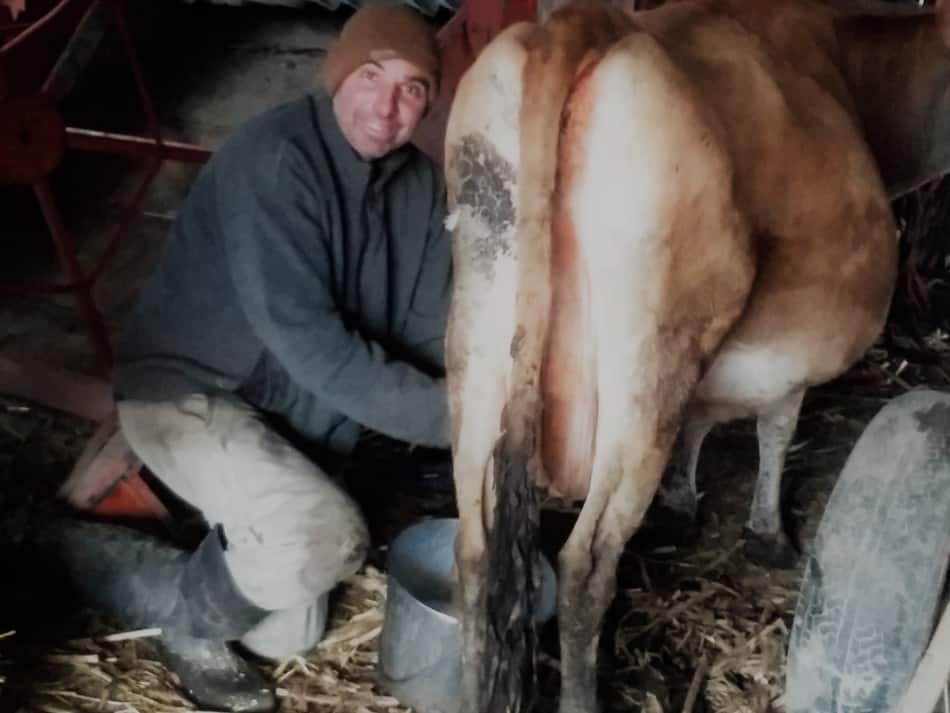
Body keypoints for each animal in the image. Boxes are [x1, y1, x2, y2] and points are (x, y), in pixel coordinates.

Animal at [442, 1, 950, 712]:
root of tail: (584, 21)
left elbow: (702, 425)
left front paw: (684, 500)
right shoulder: (791, 361)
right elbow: (776, 430)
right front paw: (767, 531)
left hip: (481, 319)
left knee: (474, 550)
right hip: (649, 356)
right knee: (583, 564)